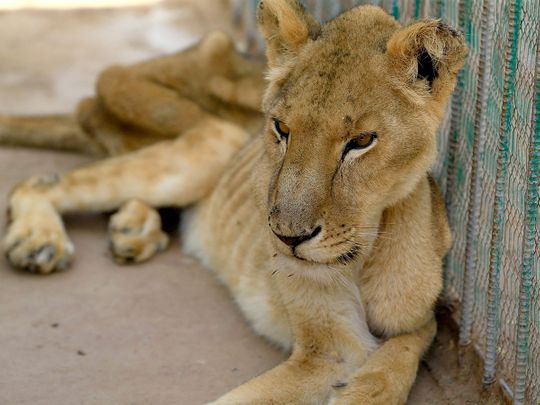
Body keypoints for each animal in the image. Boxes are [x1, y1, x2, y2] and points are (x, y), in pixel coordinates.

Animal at [1, 1, 464, 402]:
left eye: (362, 141)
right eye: (280, 128)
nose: (287, 238)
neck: (366, 255)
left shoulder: (417, 320)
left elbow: (403, 352)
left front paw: (364, 389)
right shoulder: (328, 351)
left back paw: (133, 230)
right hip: (209, 138)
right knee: (35, 183)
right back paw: (40, 242)